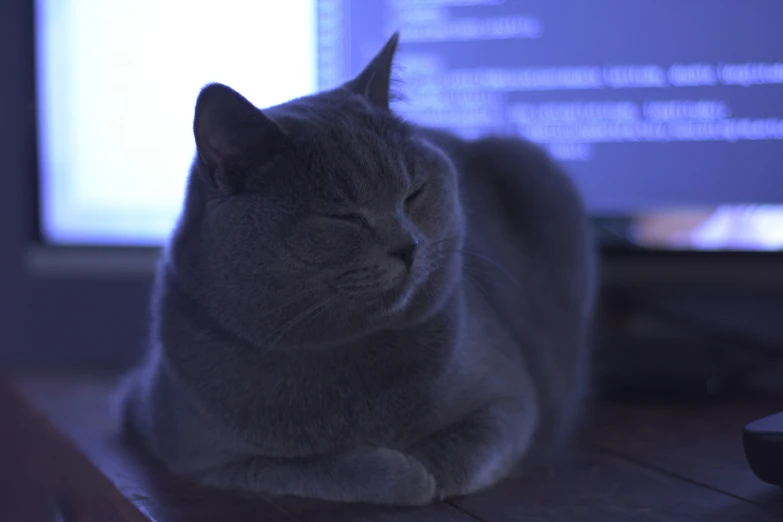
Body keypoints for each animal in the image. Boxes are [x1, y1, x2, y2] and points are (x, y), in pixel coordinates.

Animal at [115, 33, 596, 504]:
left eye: (414, 193)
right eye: (344, 216)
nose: (408, 246)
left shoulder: (511, 399)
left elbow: (466, 449)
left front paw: (426, 467)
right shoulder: (189, 451)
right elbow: (322, 470)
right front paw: (402, 471)